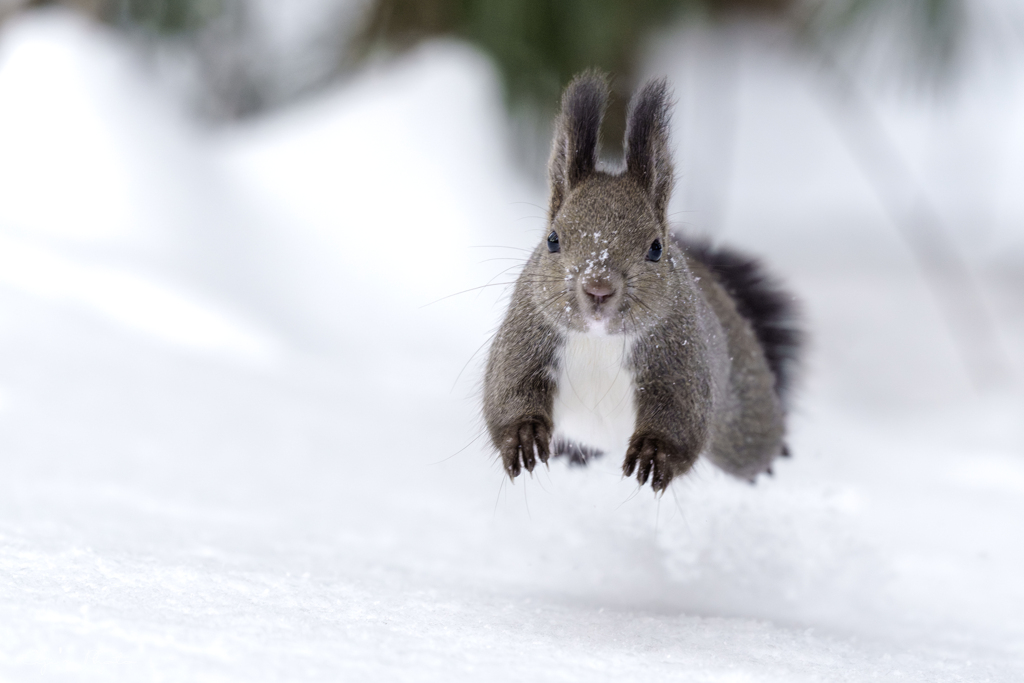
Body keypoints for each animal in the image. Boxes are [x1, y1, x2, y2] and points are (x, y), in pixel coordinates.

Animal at [479, 70, 798, 491]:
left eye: (656, 249)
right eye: (553, 239)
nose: (598, 289)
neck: (599, 341)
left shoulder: (682, 362)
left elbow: (681, 419)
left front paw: (653, 453)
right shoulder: (525, 338)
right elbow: (507, 393)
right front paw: (524, 436)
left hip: (741, 419)